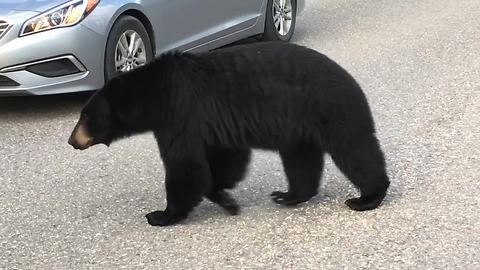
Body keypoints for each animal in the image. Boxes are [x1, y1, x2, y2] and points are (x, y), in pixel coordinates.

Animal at [68, 41, 390, 227]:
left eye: (85, 116)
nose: (71, 140)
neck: (153, 94)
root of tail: (351, 80)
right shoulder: (215, 125)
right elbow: (225, 158)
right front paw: (226, 198)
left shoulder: (180, 112)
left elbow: (186, 165)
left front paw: (161, 215)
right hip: (300, 128)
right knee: (301, 160)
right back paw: (289, 196)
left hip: (331, 110)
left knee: (355, 151)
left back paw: (367, 197)